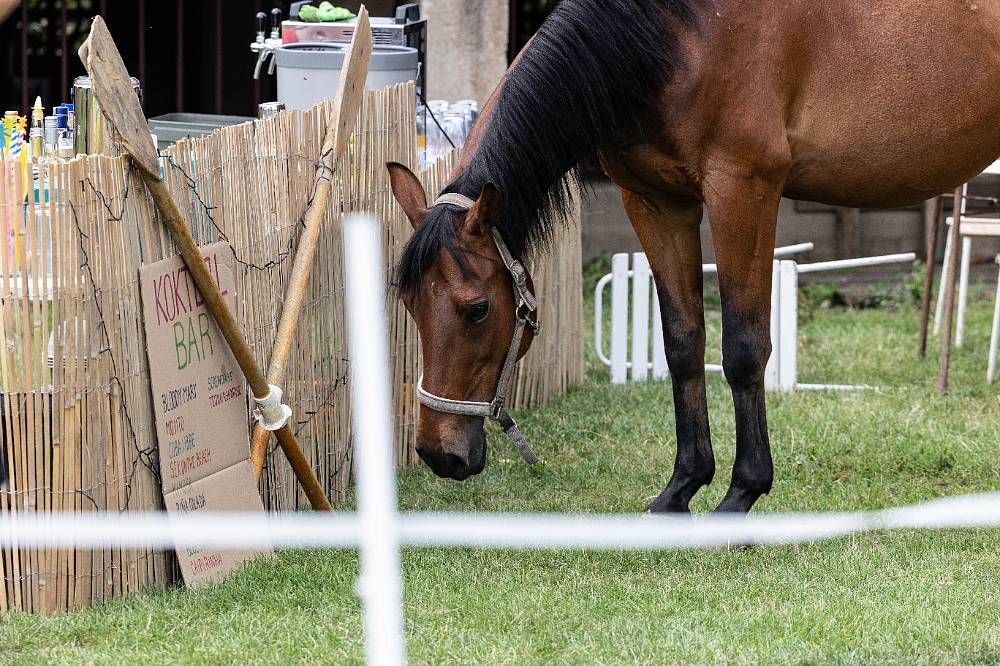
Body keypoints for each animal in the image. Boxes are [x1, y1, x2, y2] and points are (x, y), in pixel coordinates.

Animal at [386, 0, 1000, 512]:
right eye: (409, 304)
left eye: (477, 309)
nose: (439, 453)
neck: (682, 30)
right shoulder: (656, 203)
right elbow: (683, 345)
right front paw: (681, 488)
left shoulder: (742, 189)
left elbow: (744, 348)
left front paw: (741, 494)